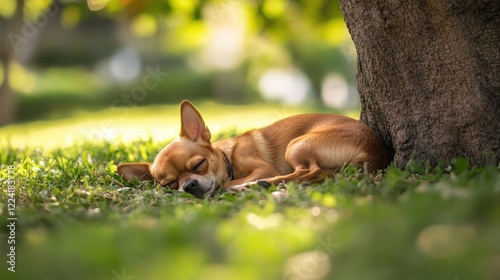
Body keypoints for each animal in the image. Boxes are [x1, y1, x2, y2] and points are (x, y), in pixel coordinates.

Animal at [118, 100, 390, 197]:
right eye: (170, 184)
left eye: (199, 164)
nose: (189, 186)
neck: (229, 157)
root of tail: (375, 151)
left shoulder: (262, 168)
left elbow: (226, 182)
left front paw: (236, 183)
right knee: (318, 174)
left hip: (296, 145)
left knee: (308, 171)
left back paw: (256, 185)